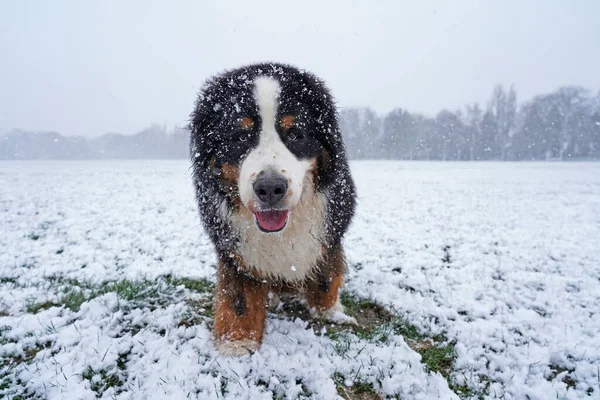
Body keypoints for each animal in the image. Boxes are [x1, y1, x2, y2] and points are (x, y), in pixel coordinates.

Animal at [189, 63, 356, 356]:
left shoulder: (332, 226)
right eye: (241, 136)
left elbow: (326, 273)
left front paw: (329, 311)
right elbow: (239, 295)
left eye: (295, 134)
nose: (269, 188)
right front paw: (237, 339)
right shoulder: (232, 244)